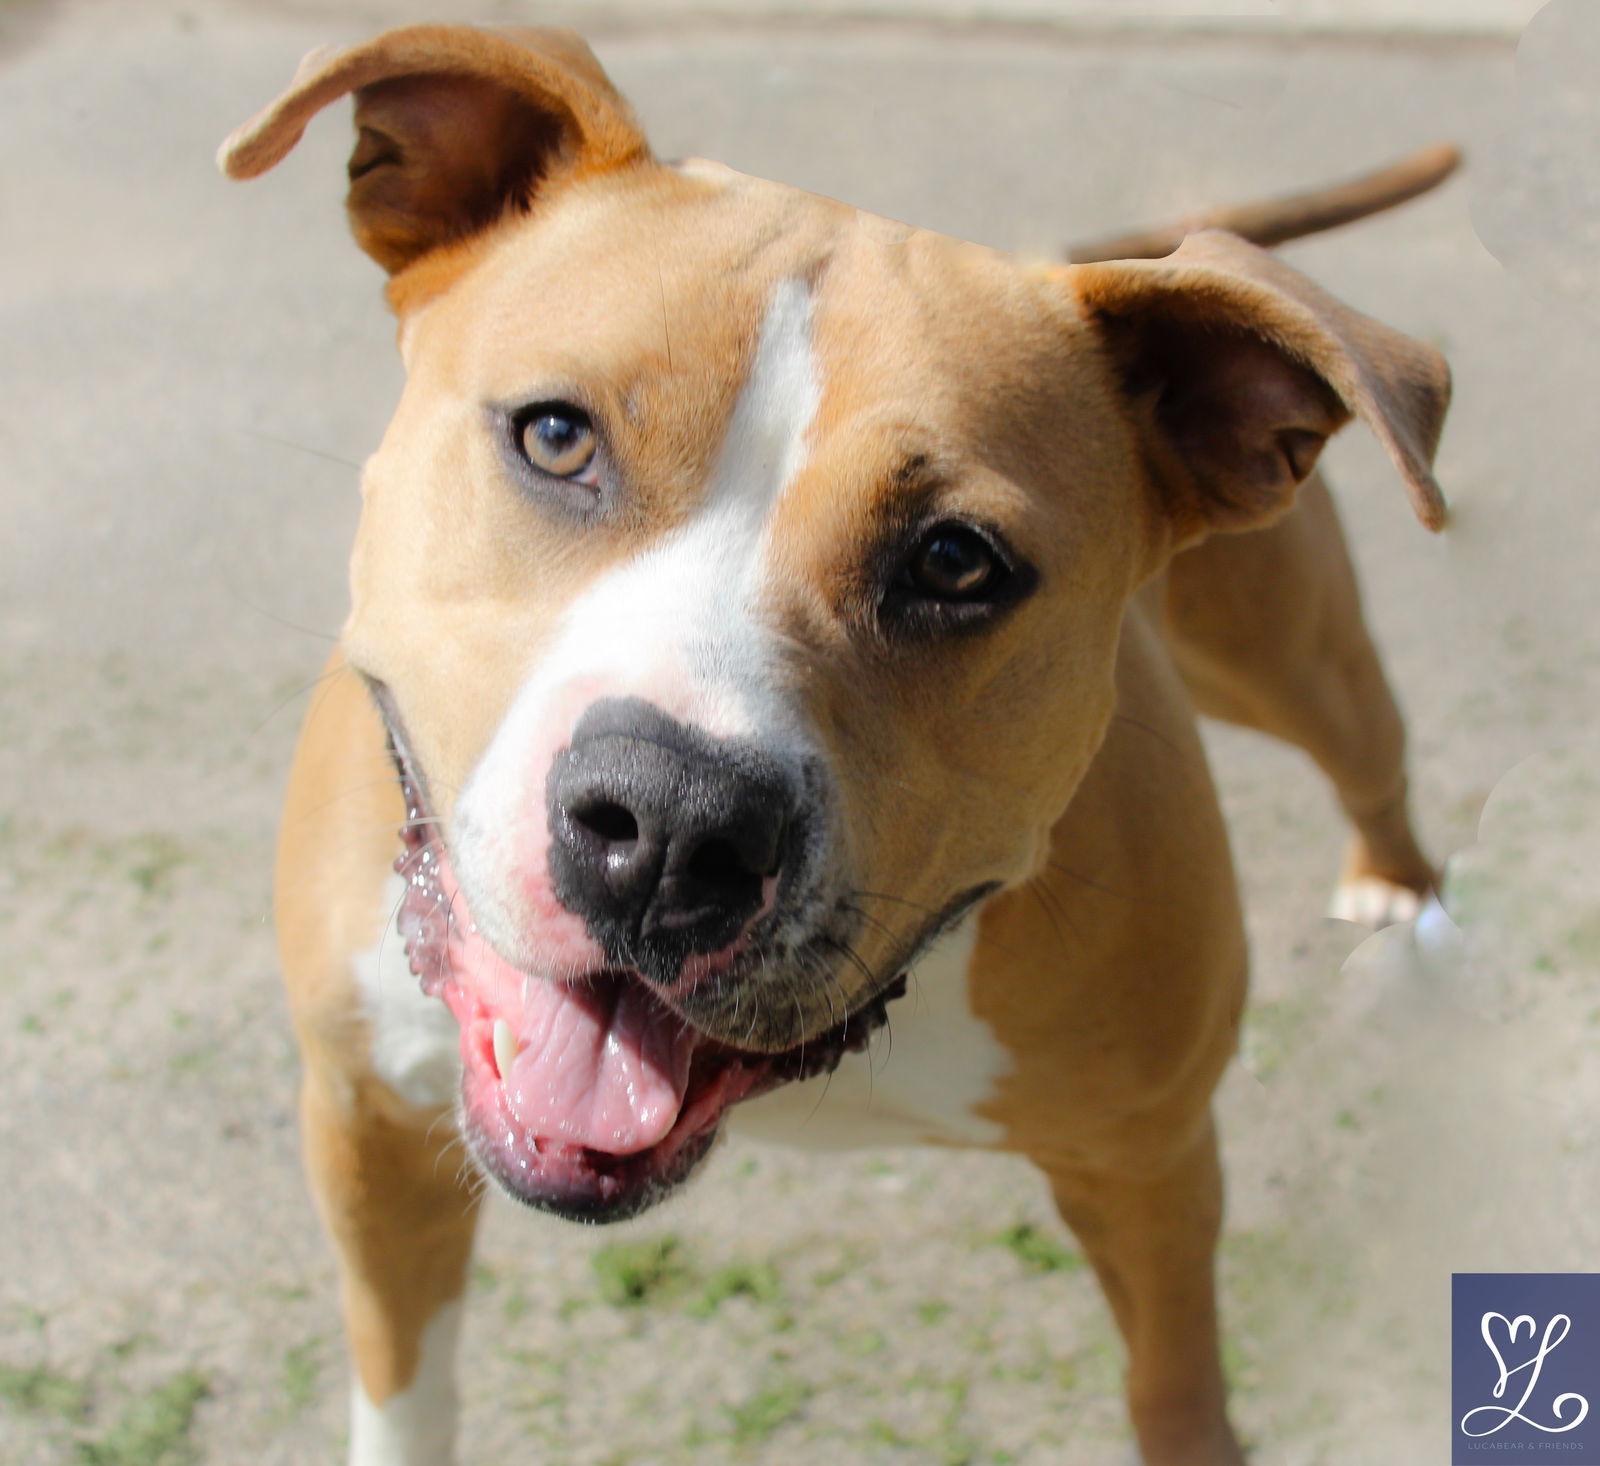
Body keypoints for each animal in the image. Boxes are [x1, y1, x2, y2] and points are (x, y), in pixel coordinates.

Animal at [219, 22, 1459, 1466]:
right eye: (555, 436)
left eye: (955, 561)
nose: (671, 821)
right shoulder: (365, 1114)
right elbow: (402, 1379)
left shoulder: (1151, 1161)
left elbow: (1175, 1387)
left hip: (1292, 653)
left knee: (1368, 744)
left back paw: (1403, 890)